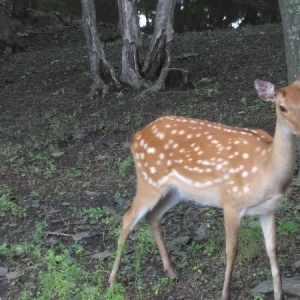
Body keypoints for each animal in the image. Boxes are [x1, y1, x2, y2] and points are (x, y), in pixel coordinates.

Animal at [109, 78, 300, 298]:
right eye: (282, 107)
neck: (267, 169)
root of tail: (136, 136)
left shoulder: (268, 208)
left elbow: (272, 250)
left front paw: (279, 294)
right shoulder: (231, 202)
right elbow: (231, 250)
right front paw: (225, 294)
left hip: (175, 191)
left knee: (153, 216)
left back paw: (171, 271)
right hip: (149, 180)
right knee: (128, 218)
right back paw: (112, 281)